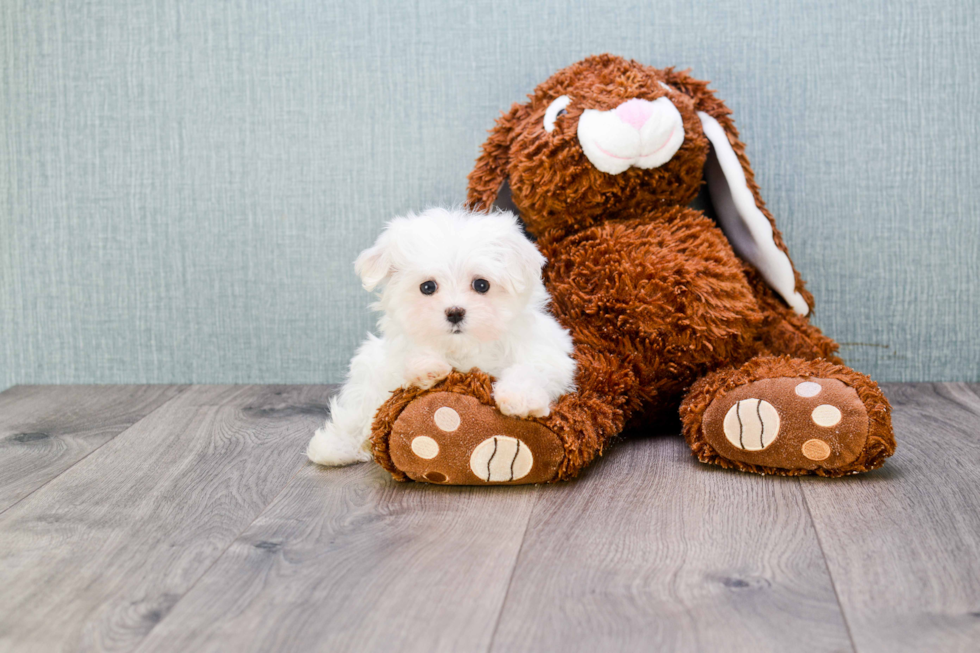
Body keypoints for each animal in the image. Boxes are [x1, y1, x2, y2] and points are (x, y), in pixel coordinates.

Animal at [310, 206, 580, 466]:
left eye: (482, 285)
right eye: (427, 287)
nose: (455, 312)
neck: (463, 346)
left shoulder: (548, 350)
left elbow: (533, 368)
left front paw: (519, 398)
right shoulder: (390, 359)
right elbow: (404, 365)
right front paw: (426, 369)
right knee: (358, 410)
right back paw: (335, 447)